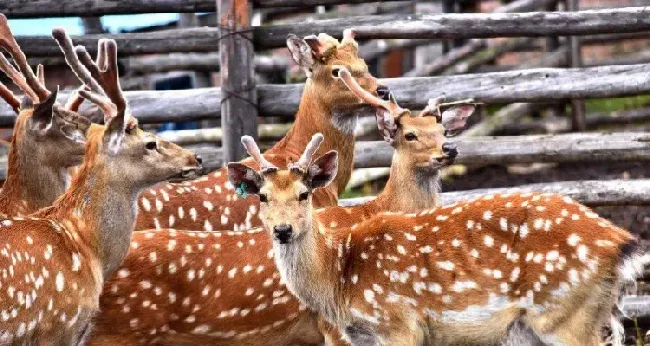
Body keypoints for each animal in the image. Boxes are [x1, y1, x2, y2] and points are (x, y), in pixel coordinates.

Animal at [227, 134, 644, 346]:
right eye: (262, 196)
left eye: (304, 194)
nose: (283, 230)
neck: (339, 279)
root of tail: (622, 242)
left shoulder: (399, 325)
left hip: (563, 313)